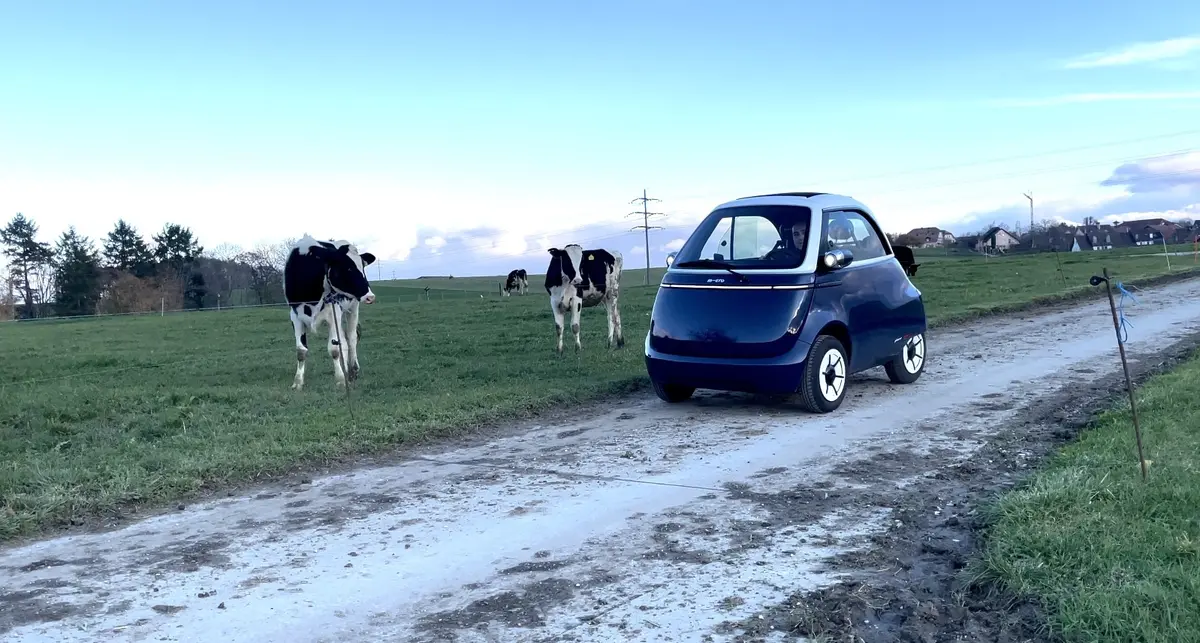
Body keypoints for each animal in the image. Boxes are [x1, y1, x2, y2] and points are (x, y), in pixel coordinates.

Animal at [280, 235, 374, 388]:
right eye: (348, 268)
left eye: (363, 267)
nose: (370, 296)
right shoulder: (295, 315)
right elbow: (301, 350)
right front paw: (298, 382)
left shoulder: (333, 313)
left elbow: (334, 350)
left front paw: (340, 379)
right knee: (344, 341)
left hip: (353, 308)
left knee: (351, 338)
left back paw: (353, 371)